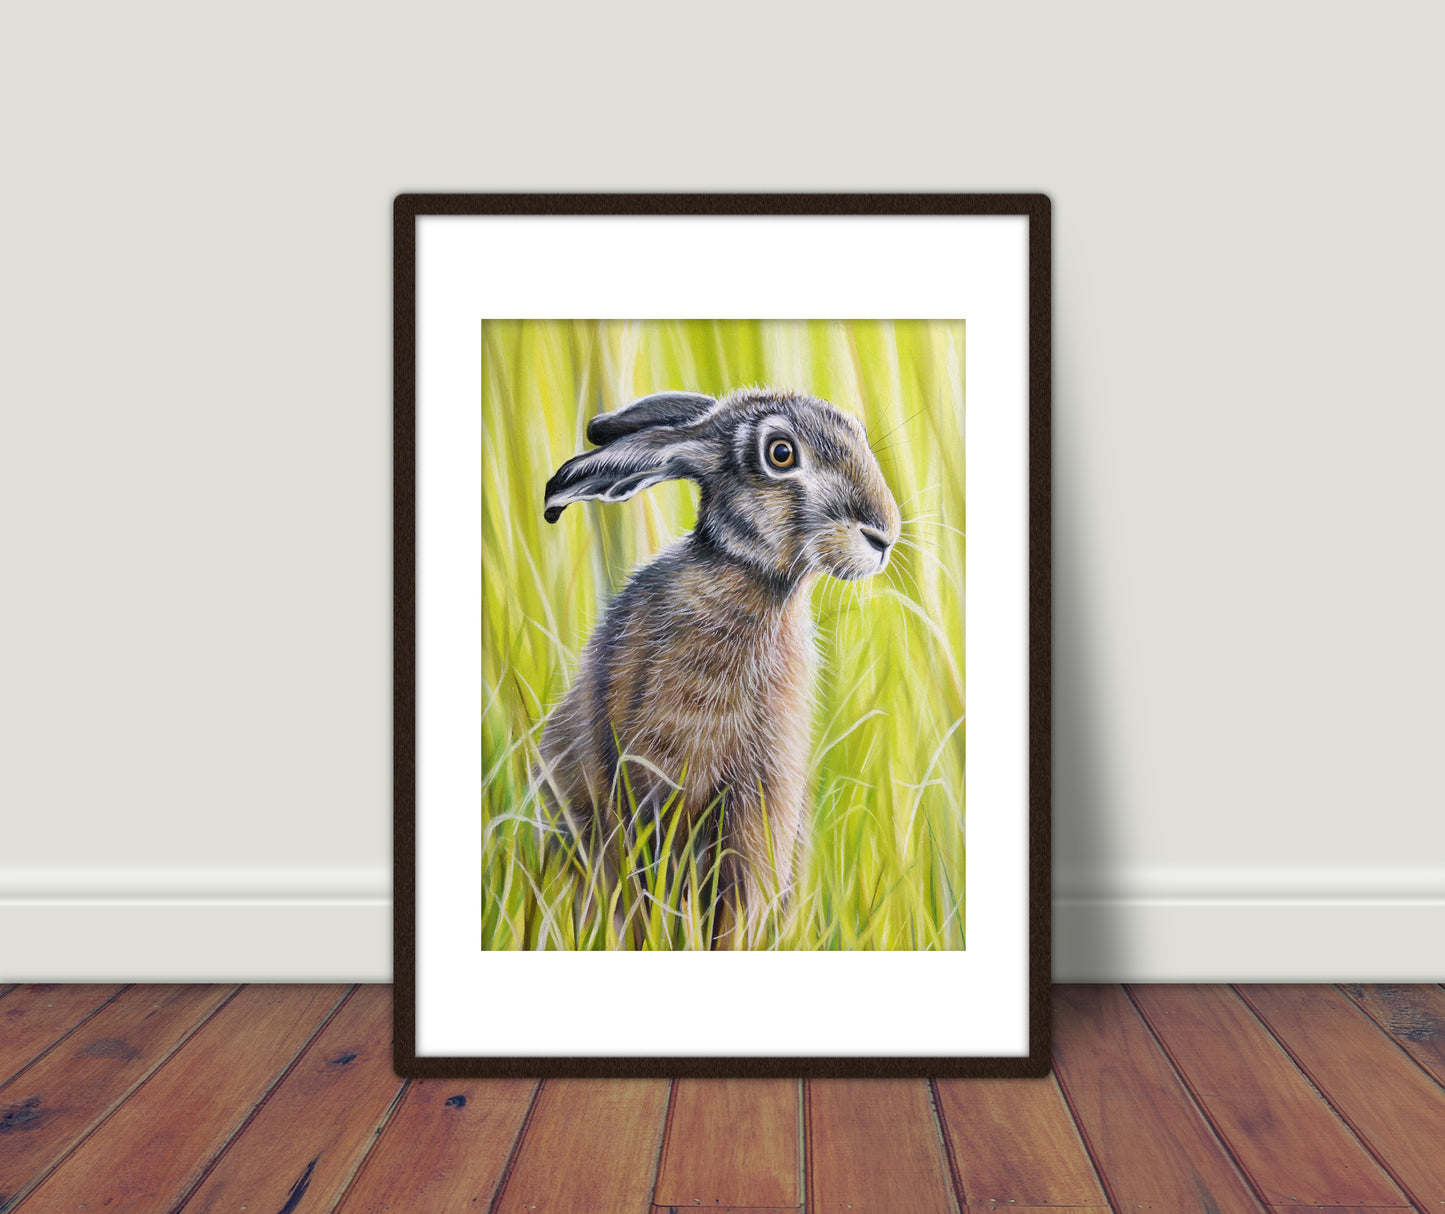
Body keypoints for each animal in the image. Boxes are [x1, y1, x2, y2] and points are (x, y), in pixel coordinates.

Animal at [535, 387, 901, 945]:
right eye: (780, 454)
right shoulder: (652, 785)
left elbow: (738, 907)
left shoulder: (759, 803)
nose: (882, 536)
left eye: (857, 432)